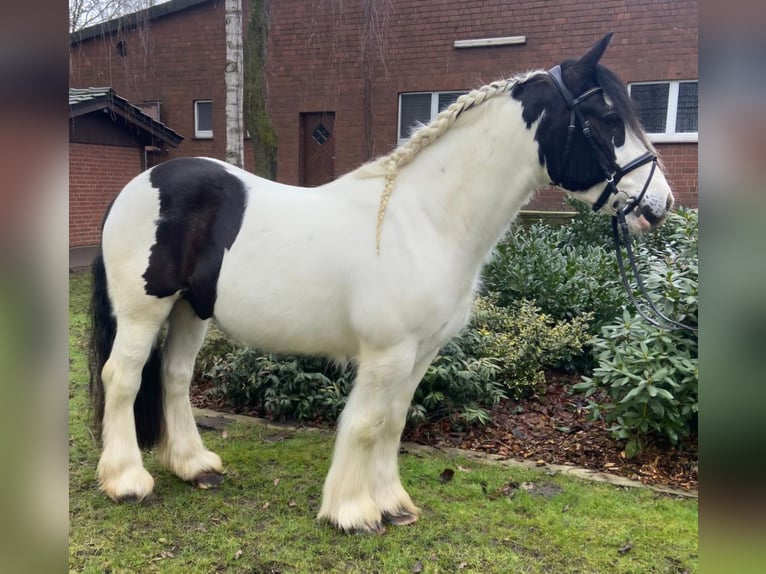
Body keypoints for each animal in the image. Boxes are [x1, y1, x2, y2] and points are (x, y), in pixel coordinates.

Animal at [88, 33, 674, 534]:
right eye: (607, 117)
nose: (659, 204)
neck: (426, 219)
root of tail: (138, 185)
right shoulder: (387, 353)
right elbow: (367, 424)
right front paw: (352, 512)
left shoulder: (422, 353)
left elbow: (393, 424)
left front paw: (392, 504)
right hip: (145, 310)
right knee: (123, 377)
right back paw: (127, 481)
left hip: (191, 309)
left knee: (174, 377)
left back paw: (194, 466)